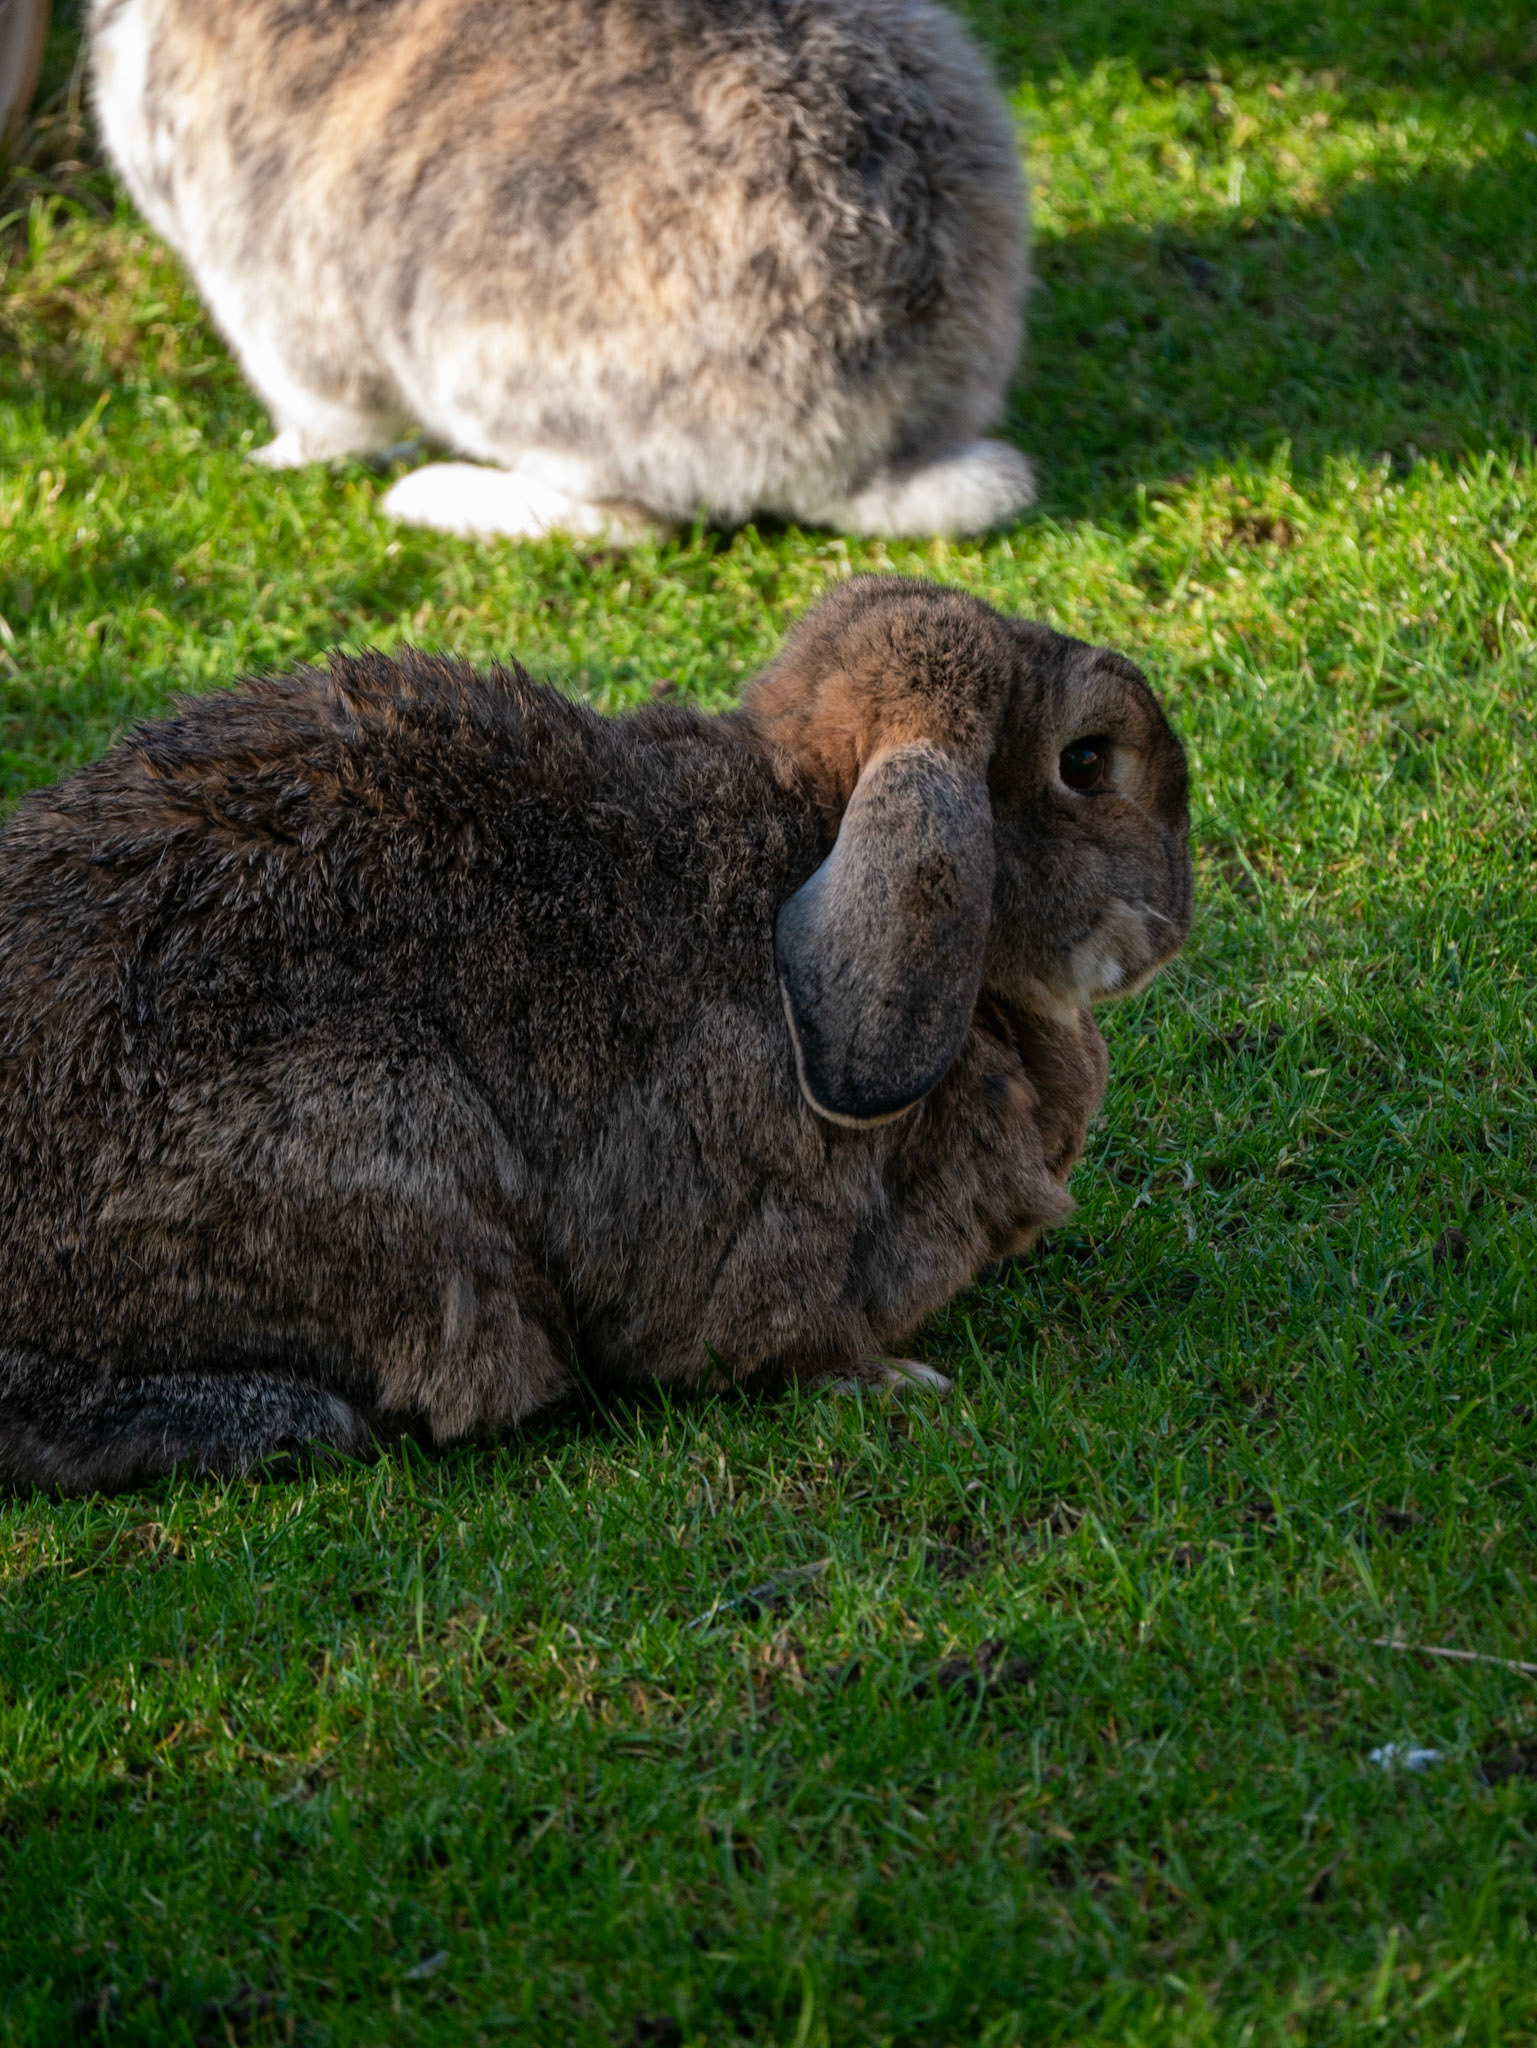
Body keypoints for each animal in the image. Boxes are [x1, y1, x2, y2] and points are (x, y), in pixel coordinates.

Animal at [87, 0, 1034, 542]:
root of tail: (882, 447)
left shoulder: (266, 289)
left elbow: (322, 413)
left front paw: (273, 460)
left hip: (479, 353)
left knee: (636, 523)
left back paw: (429, 497)